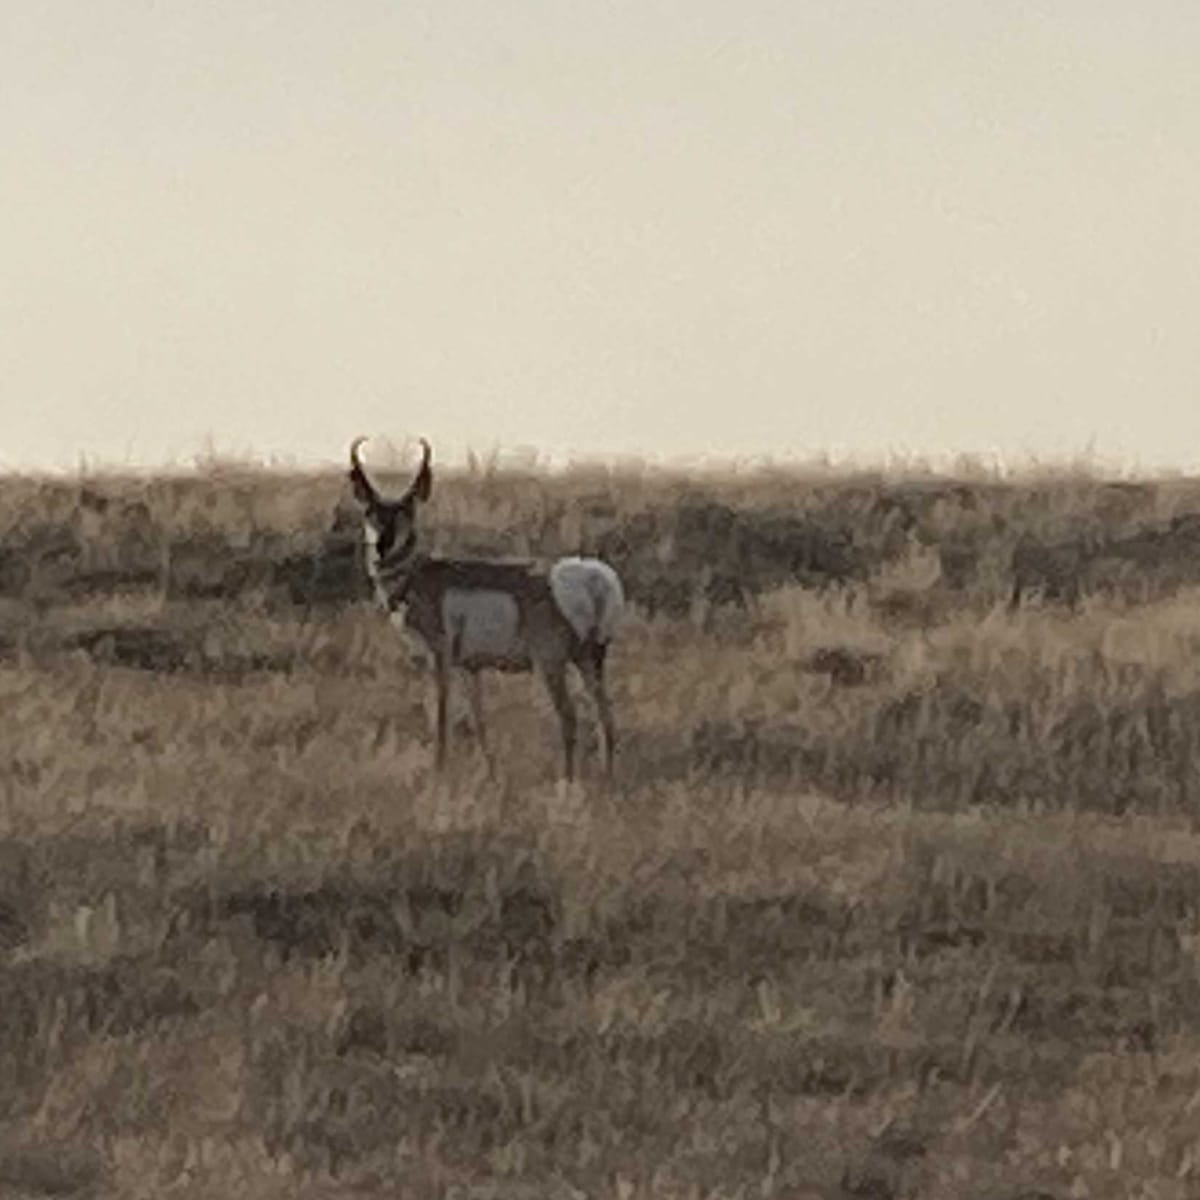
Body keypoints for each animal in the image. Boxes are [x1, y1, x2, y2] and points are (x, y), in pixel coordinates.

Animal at [350, 436, 624, 782]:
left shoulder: (439, 658)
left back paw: (566, 781)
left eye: (406, 511)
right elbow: (479, 719)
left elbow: (440, 713)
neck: (417, 576)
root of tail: (592, 577)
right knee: (606, 715)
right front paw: (488, 771)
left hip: (551, 664)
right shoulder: (471, 667)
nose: (383, 546)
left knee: (570, 717)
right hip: (590, 661)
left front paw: (439, 771)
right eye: (369, 511)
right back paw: (607, 777)